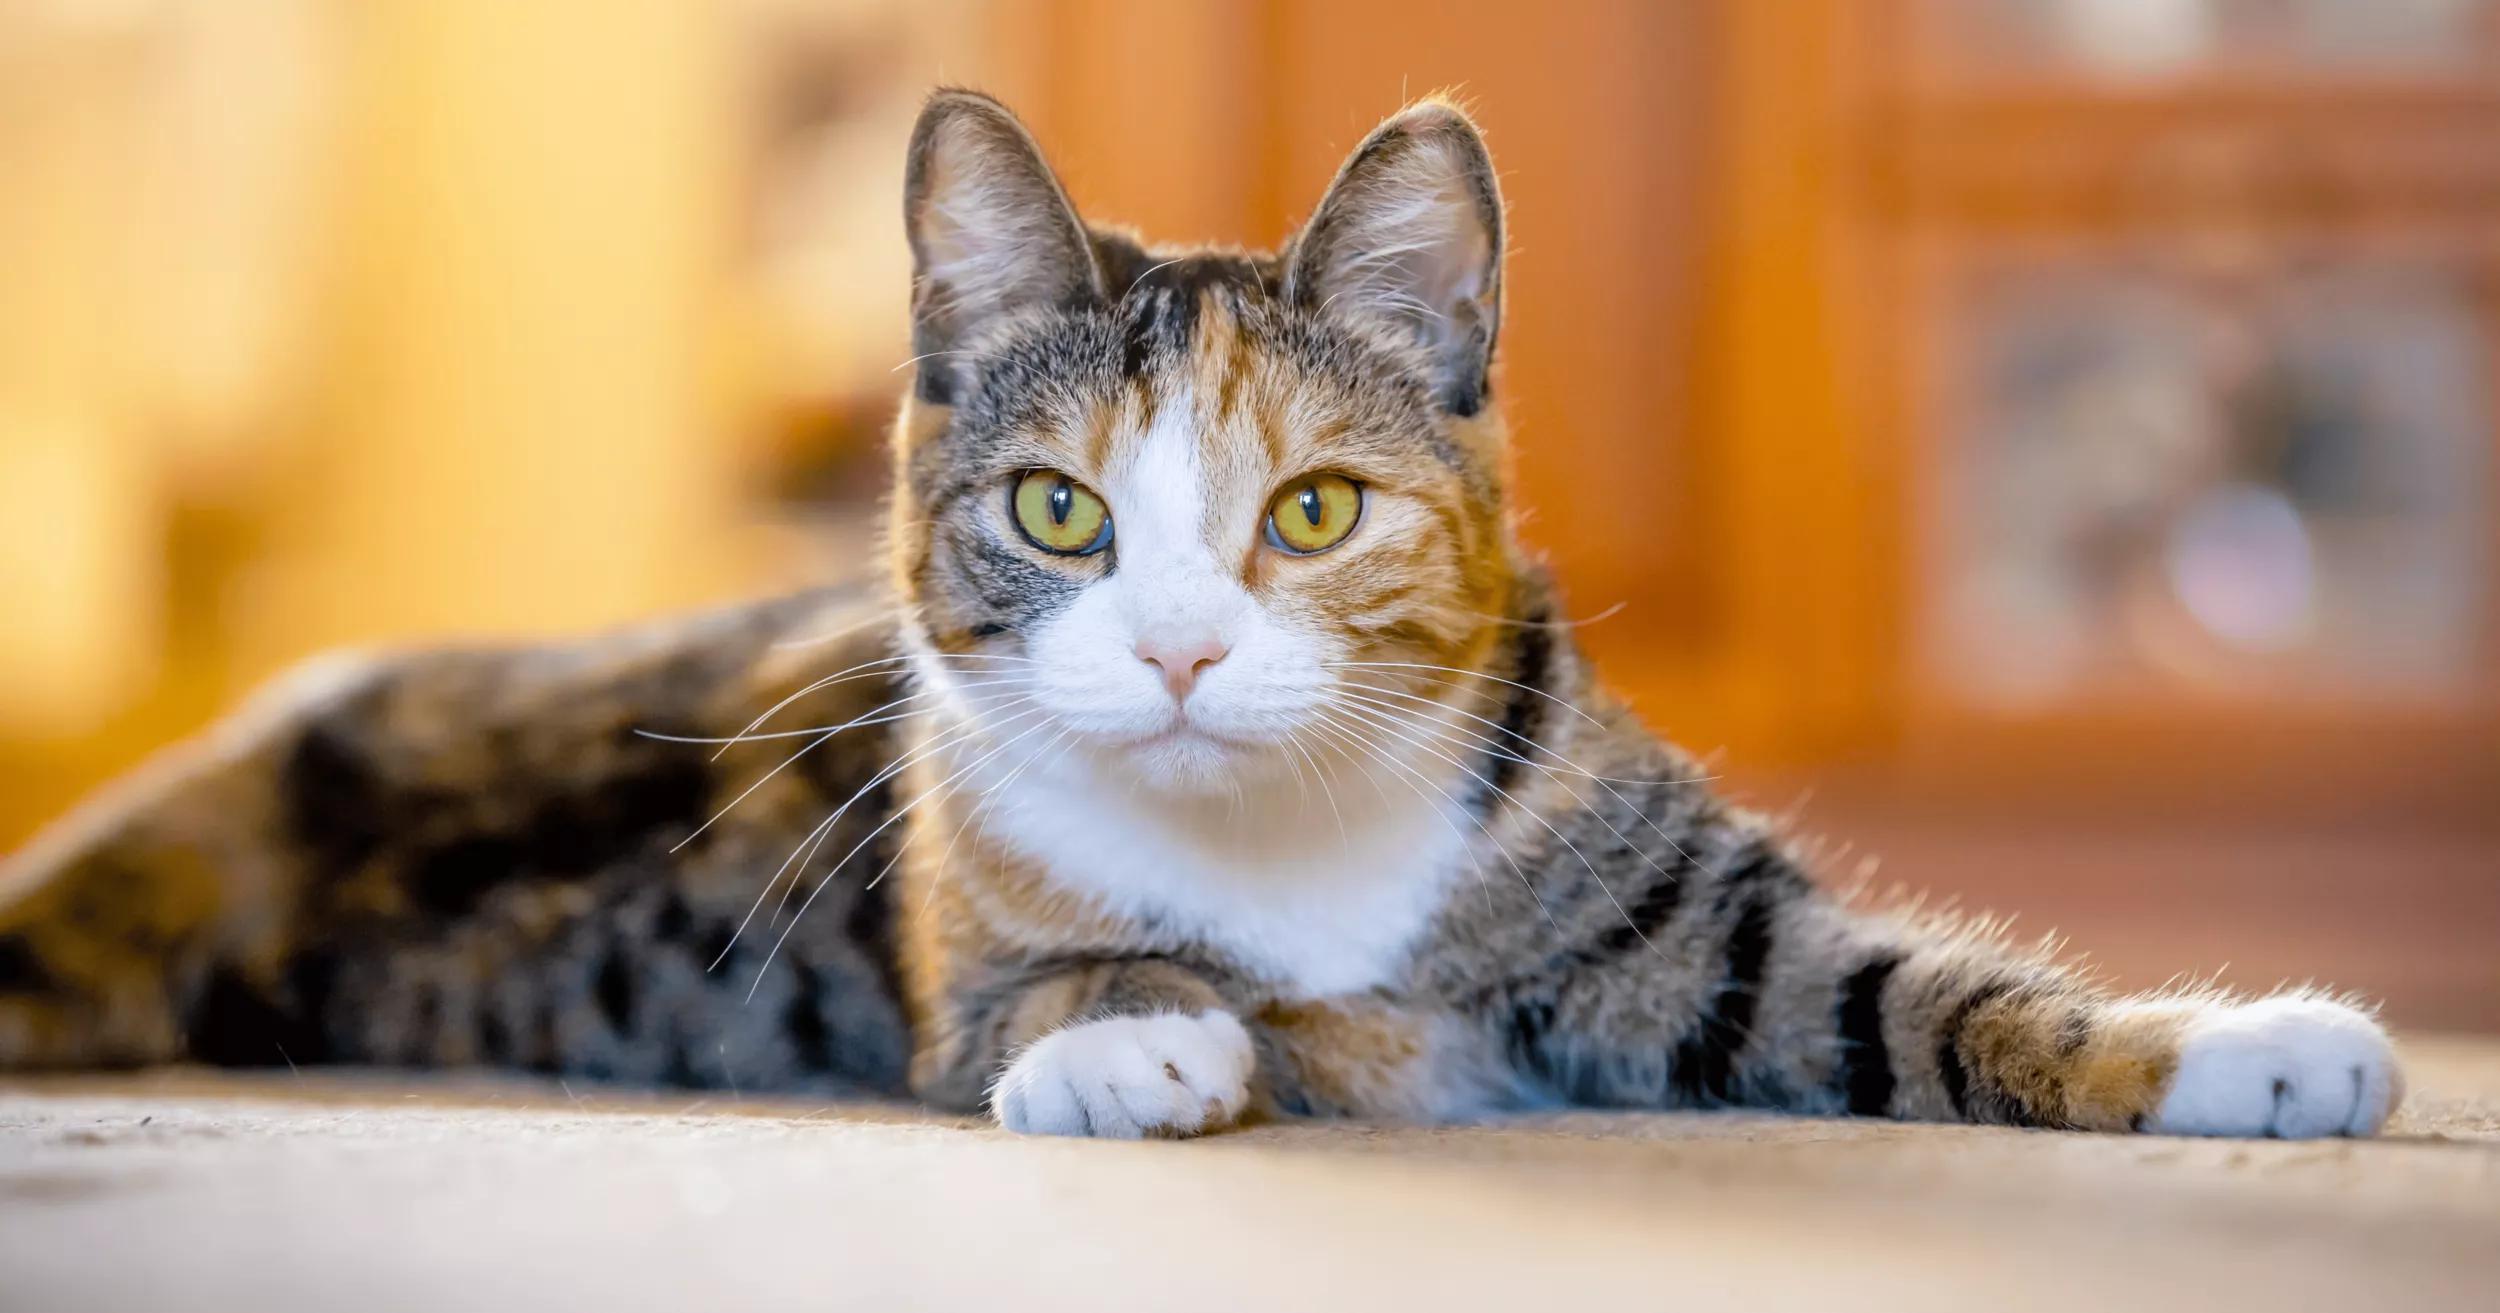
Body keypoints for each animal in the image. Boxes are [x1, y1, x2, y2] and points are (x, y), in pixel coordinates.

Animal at [0, 89, 2400, 1135]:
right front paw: (1137, 1025)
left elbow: (1924, 987)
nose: (1169, 648)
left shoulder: (1690, 923)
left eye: (1312, 506)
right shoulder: (957, 936)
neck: (1300, 841)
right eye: (1056, 510)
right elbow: (1072, 970)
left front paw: (2223, 1041)